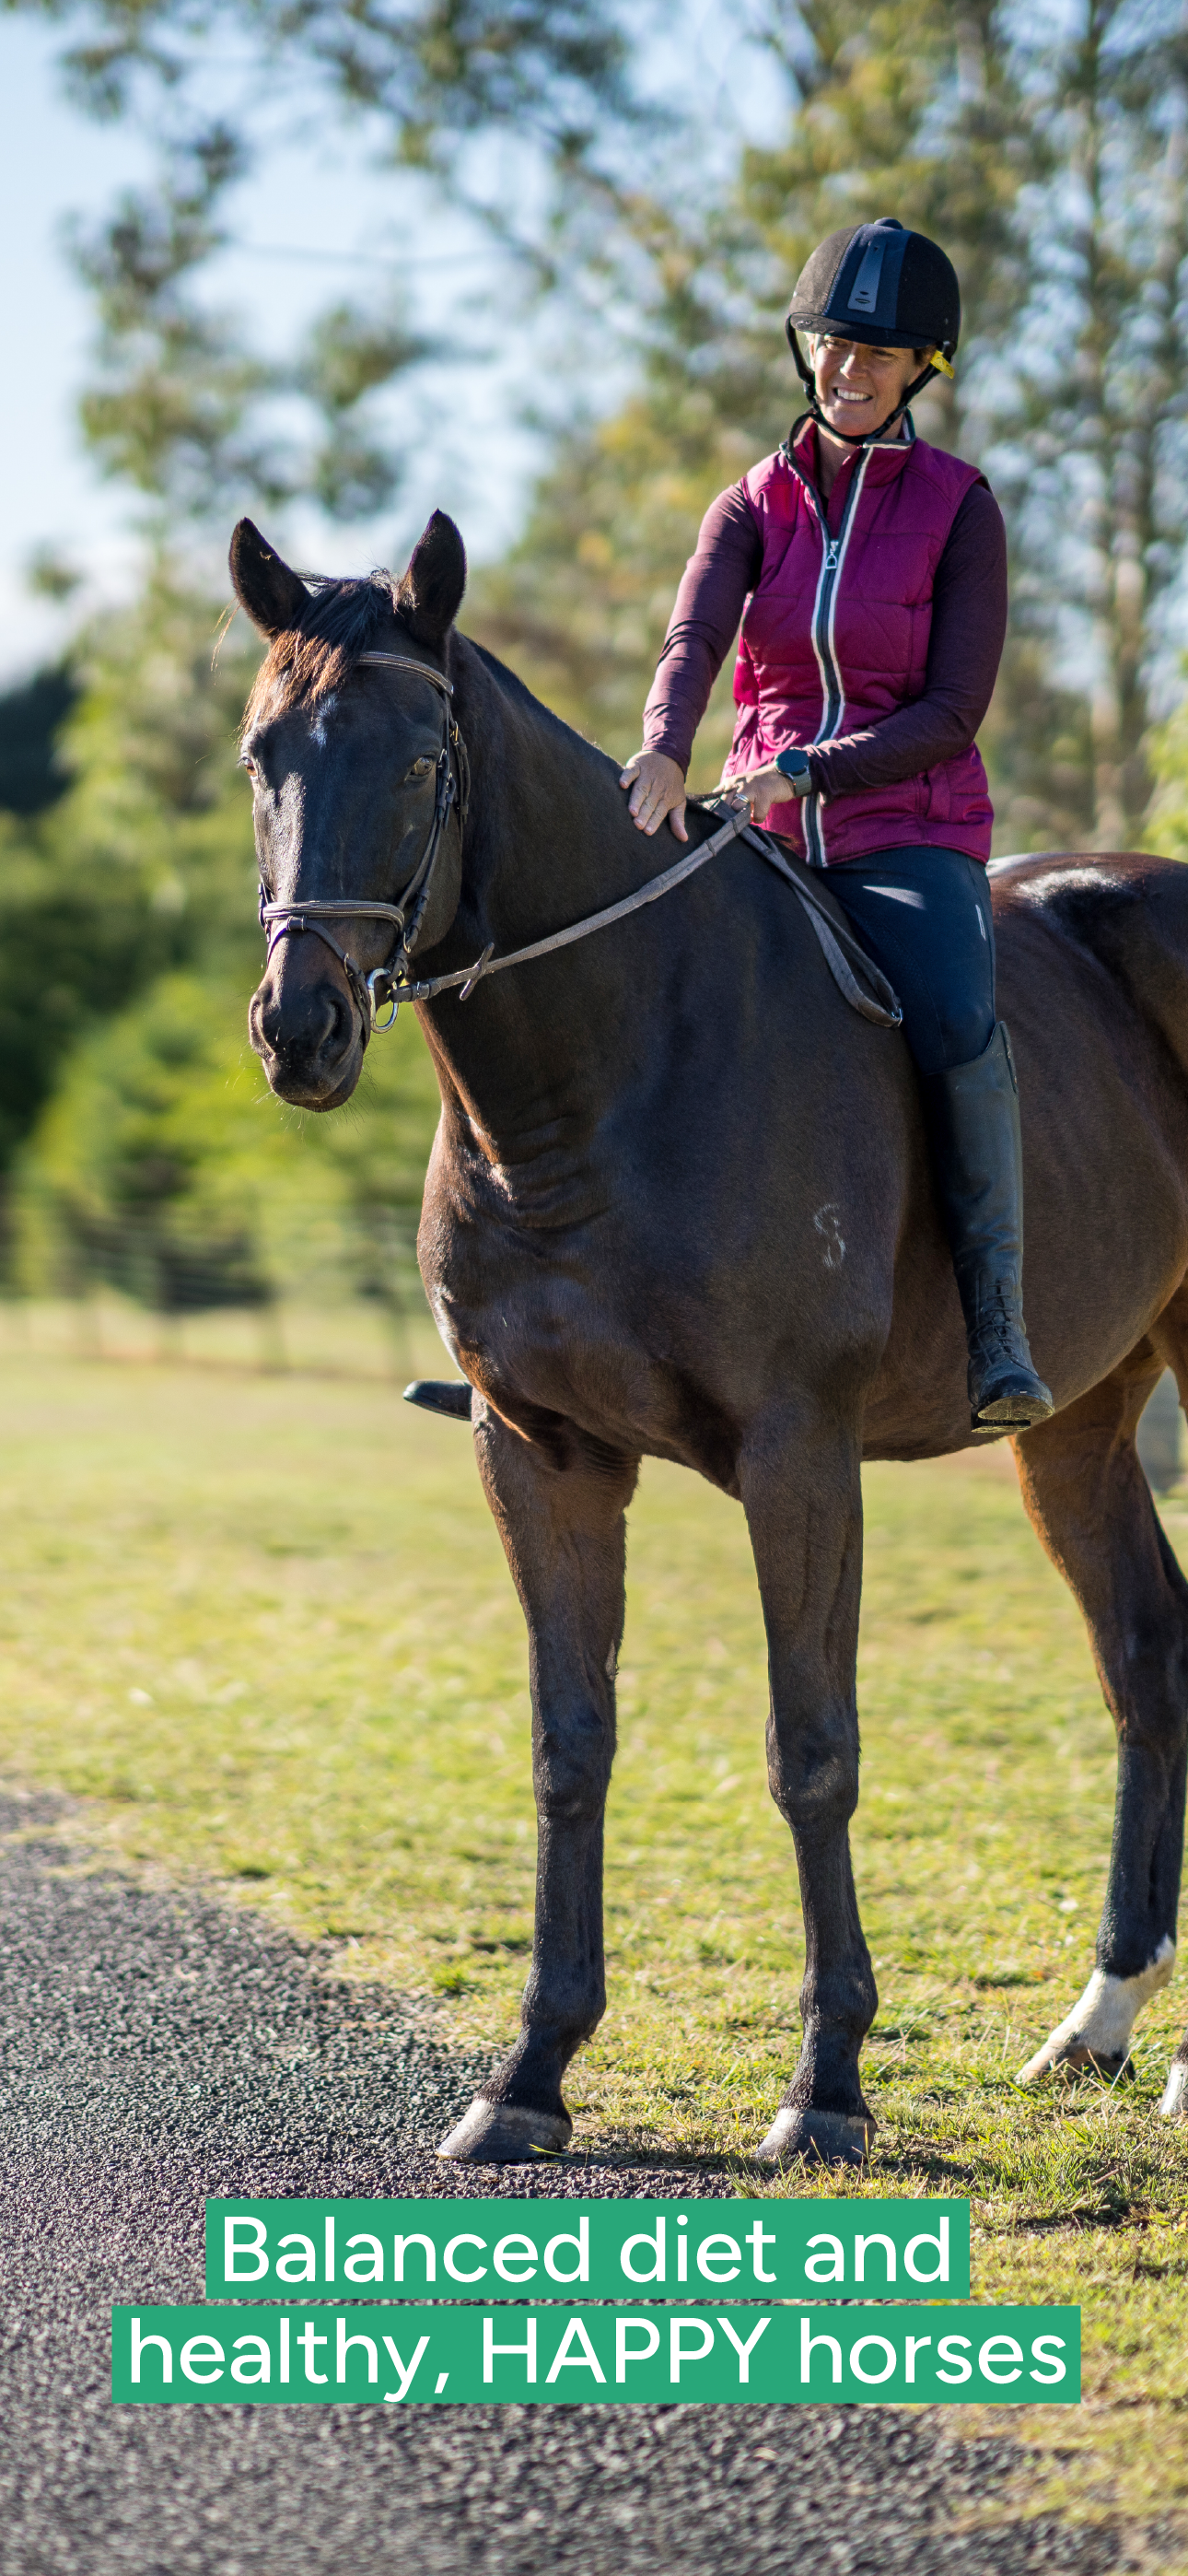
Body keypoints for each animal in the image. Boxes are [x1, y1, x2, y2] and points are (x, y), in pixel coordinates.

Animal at [230, 504, 1188, 2166]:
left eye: (419, 763)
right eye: (258, 755)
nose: (303, 1028)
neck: (604, 1076)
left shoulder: (800, 1455)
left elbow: (812, 1751)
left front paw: (829, 2086)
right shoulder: (535, 1453)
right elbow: (569, 1744)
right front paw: (530, 2071)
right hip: (1078, 1420)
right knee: (1144, 1651)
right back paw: (1102, 2020)